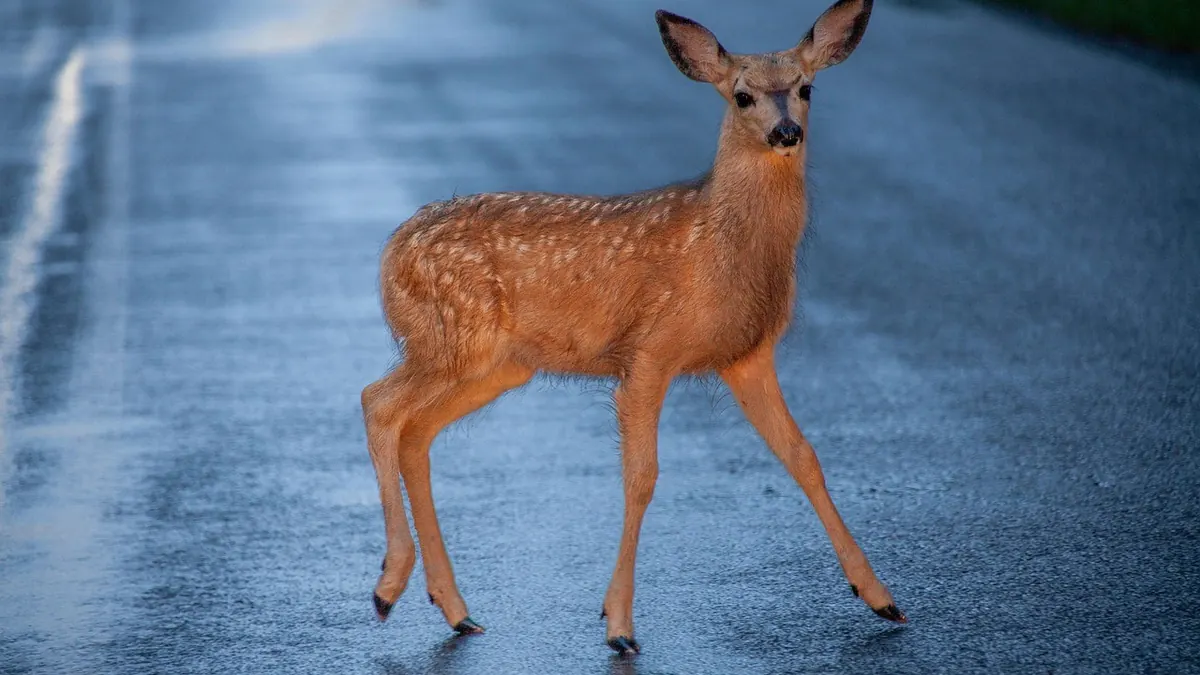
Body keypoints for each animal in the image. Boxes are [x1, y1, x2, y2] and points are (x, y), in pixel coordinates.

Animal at [361, 0, 904, 655]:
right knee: (378, 402)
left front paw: (881, 598)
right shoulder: (650, 350)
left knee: (416, 432)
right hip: (450, 338)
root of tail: (390, 250)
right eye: (742, 95)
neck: (720, 248)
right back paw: (388, 586)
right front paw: (619, 626)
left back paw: (455, 609)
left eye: (806, 88)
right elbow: (642, 477)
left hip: (496, 366)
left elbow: (803, 455)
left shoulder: (746, 354)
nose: (785, 133)